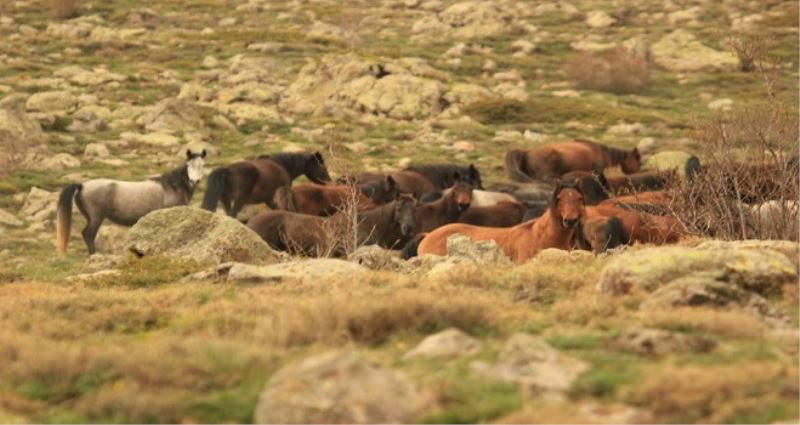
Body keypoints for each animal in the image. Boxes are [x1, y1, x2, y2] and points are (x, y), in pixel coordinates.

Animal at [55, 149, 206, 255]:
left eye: (202, 165)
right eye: (188, 165)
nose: (194, 181)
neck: (171, 186)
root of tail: (82, 185)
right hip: (96, 218)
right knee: (88, 235)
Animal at [202, 152, 330, 217]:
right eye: (323, 167)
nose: (329, 181)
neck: (283, 166)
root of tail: (227, 170)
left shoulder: (268, 200)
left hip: (226, 200)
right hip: (239, 200)